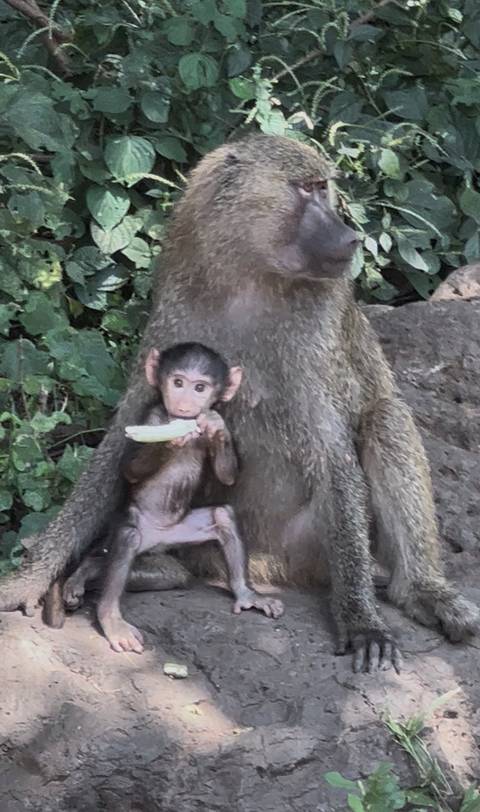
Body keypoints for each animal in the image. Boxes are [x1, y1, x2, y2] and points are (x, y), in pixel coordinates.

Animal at [61, 342, 284, 653]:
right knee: (127, 539)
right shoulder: (150, 417)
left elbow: (227, 476)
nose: (184, 404)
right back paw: (110, 617)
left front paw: (214, 427)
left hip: (176, 535)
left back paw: (246, 594)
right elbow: (129, 469)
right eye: (177, 382)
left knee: (220, 518)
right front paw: (167, 442)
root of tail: (156, 537)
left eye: (200, 387)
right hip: (135, 525)